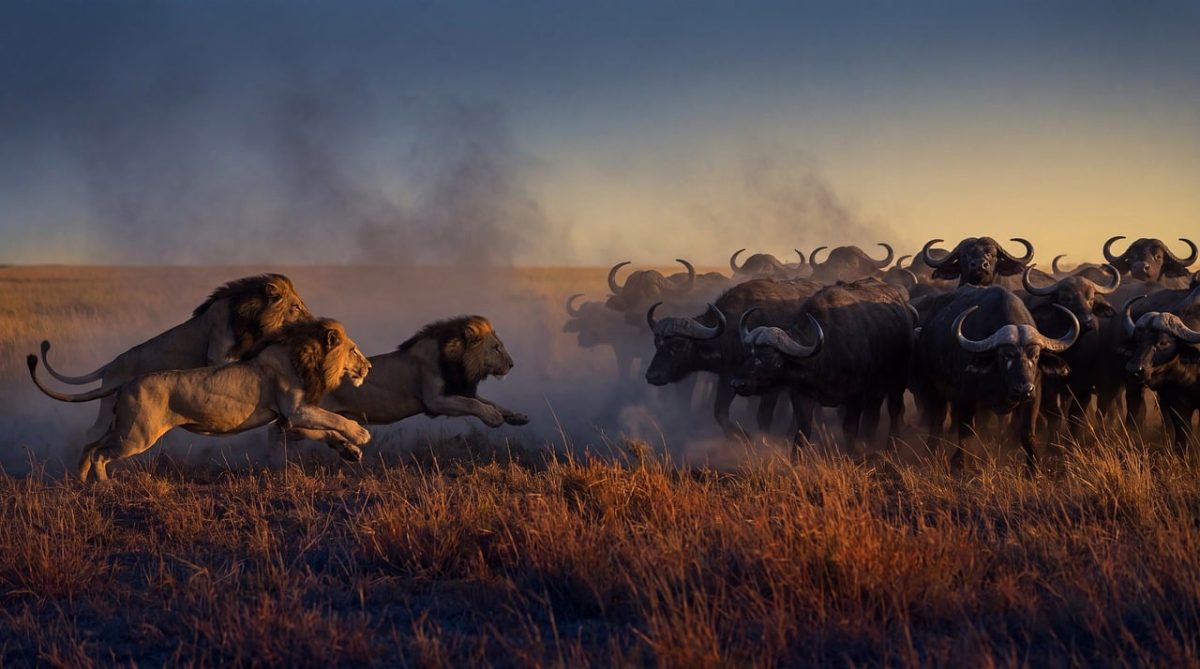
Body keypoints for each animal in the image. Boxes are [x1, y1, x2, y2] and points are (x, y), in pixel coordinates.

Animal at [28, 318, 372, 482]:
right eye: (354, 350)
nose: (368, 366)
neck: (305, 356)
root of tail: (127, 380)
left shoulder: (290, 417)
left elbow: (325, 430)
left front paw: (350, 451)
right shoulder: (296, 408)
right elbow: (336, 419)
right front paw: (360, 434)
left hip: (122, 427)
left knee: (90, 445)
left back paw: (81, 481)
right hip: (137, 435)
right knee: (100, 452)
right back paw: (104, 485)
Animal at [37, 274, 312, 442]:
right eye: (296, 307)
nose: (312, 321)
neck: (252, 319)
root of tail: (110, 365)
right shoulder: (217, 354)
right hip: (108, 404)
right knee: (93, 433)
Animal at [280, 315, 528, 449]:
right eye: (496, 348)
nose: (512, 364)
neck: (459, 361)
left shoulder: (458, 388)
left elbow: (490, 402)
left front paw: (516, 417)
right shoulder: (435, 400)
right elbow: (474, 404)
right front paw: (493, 418)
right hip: (307, 412)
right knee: (297, 428)